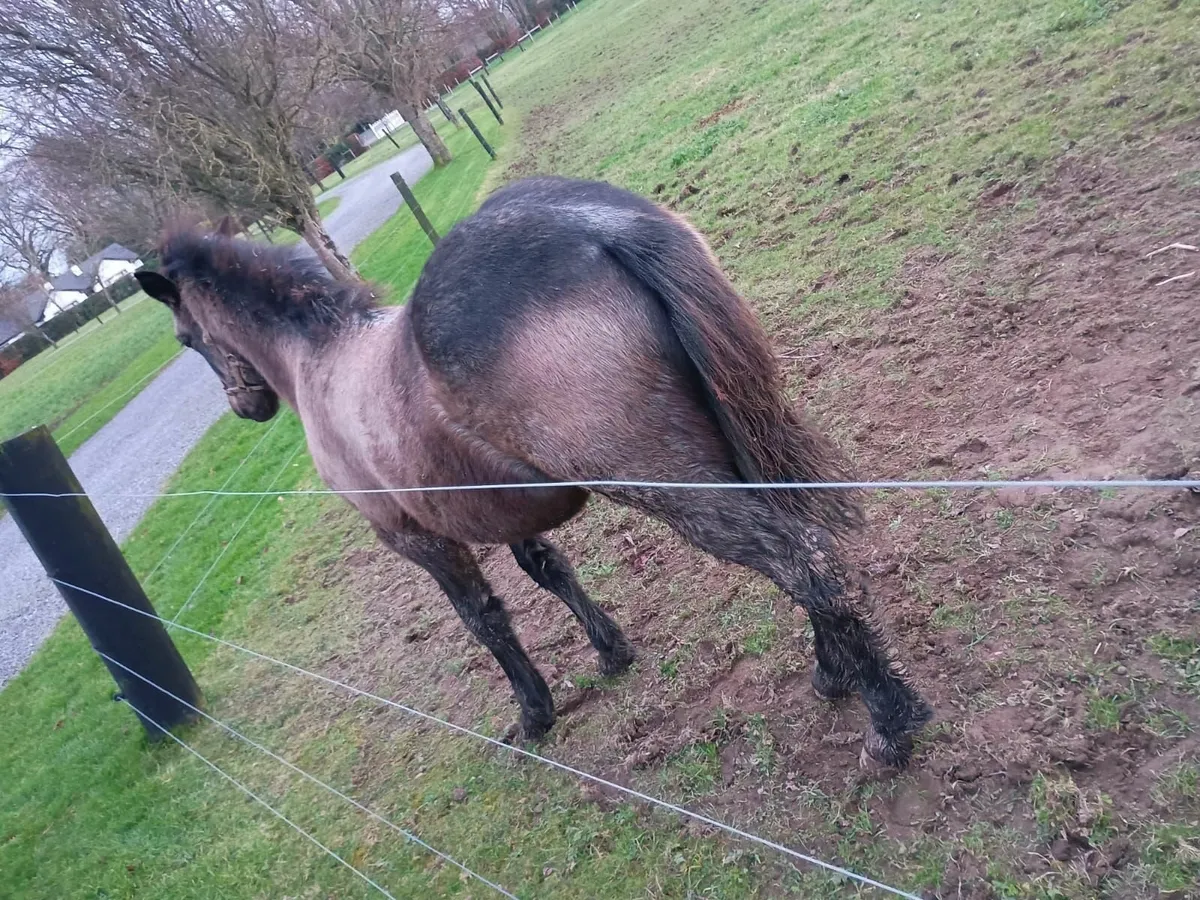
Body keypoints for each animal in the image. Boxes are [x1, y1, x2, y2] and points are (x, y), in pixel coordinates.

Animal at [135, 176, 933, 769]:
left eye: (186, 338)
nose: (245, 406)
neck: (325, 362)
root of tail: (593, 228)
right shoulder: (501, 509)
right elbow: (549, 570)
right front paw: (610, 652)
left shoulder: (418, 539)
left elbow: (485, 620)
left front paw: (534, 713)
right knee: (798, 548)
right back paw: (833, 673)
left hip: (670, 485)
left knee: (802, 559)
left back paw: (890, 725)